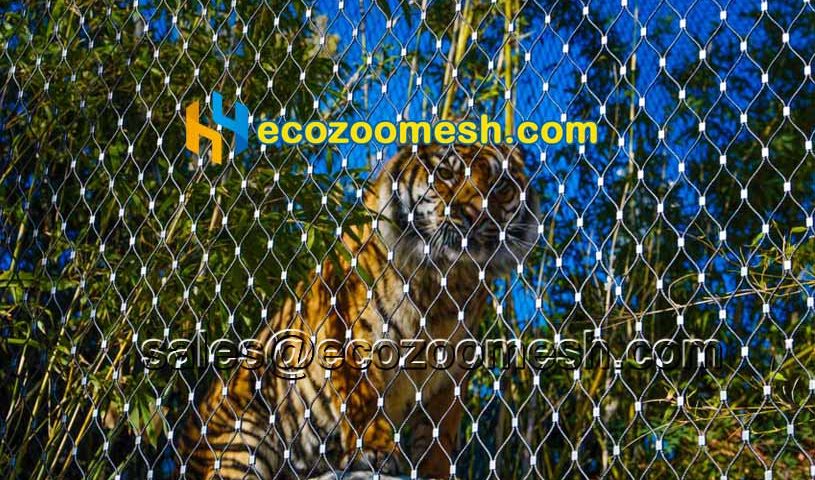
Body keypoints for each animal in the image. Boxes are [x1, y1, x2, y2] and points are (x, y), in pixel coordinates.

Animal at [178, 143, 539, 479]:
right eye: (447, 174)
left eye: (500, 185)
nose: (477, 215)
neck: (445, 280)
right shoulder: (351, 337)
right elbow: (365, 403)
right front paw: (376, 452)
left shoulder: (451, 371)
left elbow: (440, 431)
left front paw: (436, 470)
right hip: (247, 432)